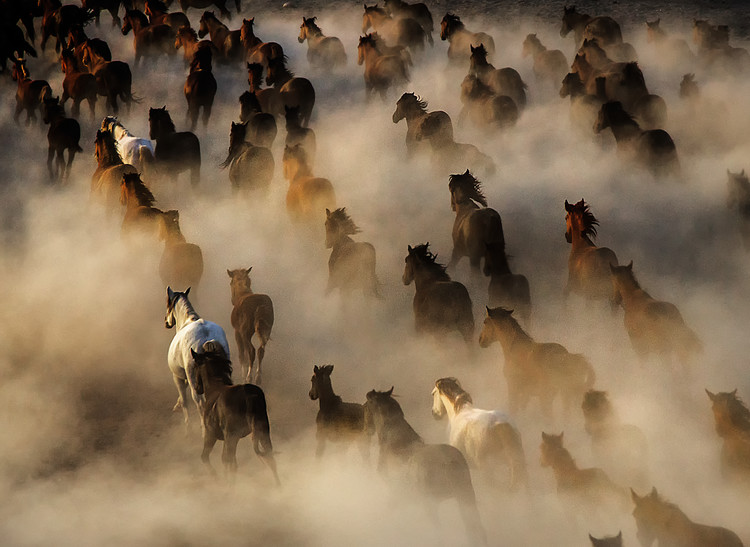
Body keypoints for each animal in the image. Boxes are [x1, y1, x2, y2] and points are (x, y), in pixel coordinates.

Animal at [165, 287, 230, 427]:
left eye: (168, 304)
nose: (166, 322)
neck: (188, 320)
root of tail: (207, 337)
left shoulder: (177, 377)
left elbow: (185, 401)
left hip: (193, 380)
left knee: (199, 402)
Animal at [191, 343, 280, 484]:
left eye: (195, 367)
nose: (197, 388)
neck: (214, 388)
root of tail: (248, 394)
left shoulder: (211, 435)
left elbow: (206, 457)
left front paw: (216, 477)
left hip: (231, 436)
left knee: (228, 460)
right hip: (262, 430)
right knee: (269, 455)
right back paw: (278, 486)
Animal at [364, 387, 487, 545]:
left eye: (367, 405)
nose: (367, 429)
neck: (397, 445)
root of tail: (447, 462)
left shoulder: (397, 493)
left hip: (432, 503)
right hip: (466, 497)